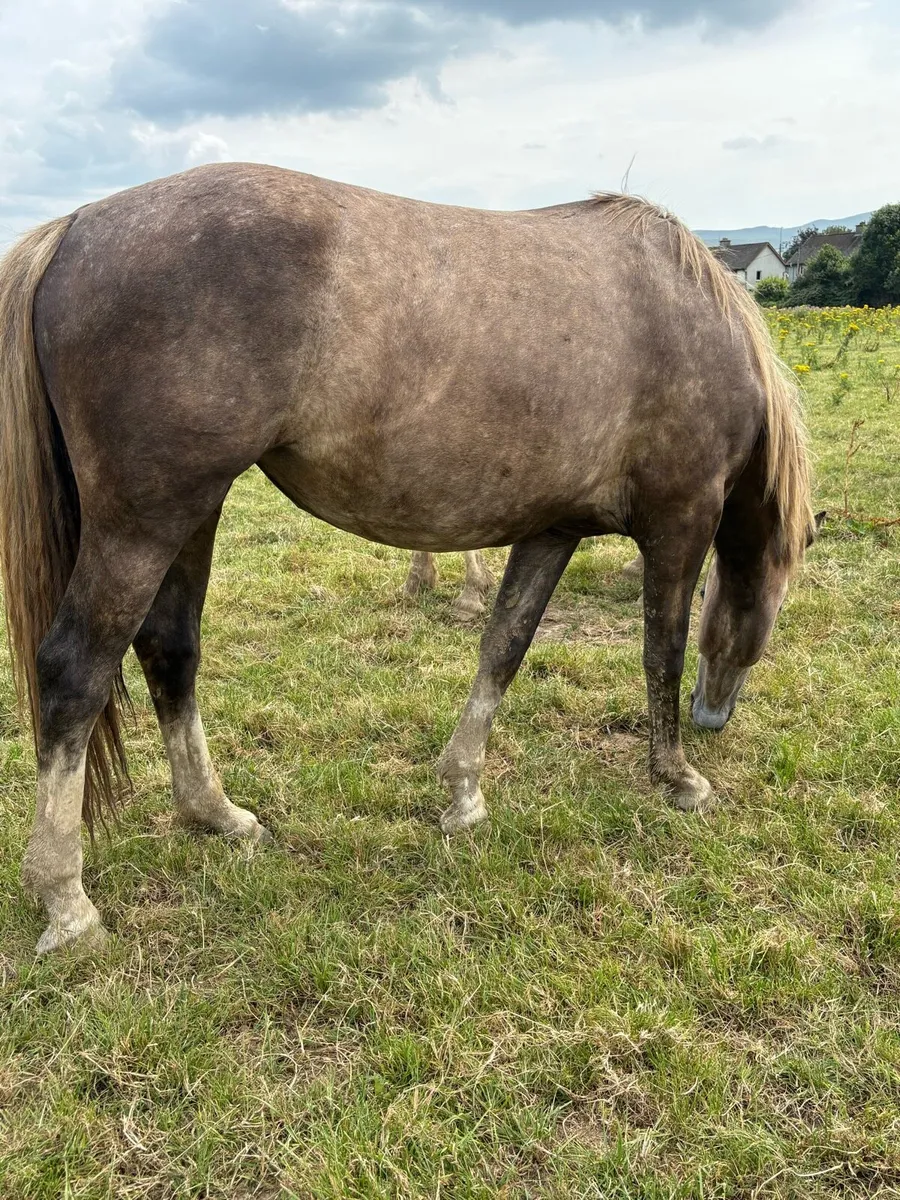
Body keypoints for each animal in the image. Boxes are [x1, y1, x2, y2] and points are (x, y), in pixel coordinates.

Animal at [0, 164, 814, 955]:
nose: (714, 719)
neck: (693, 316)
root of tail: (74, 228)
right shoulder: (680, 523)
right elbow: (661, 651)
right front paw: (677, 776)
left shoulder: (551, 531)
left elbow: (503, 647)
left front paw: (464, 792)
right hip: (143, 522)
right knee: (74, 674)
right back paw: (68, 903)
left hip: (190, 514)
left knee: (171, 652)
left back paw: (217, 815)